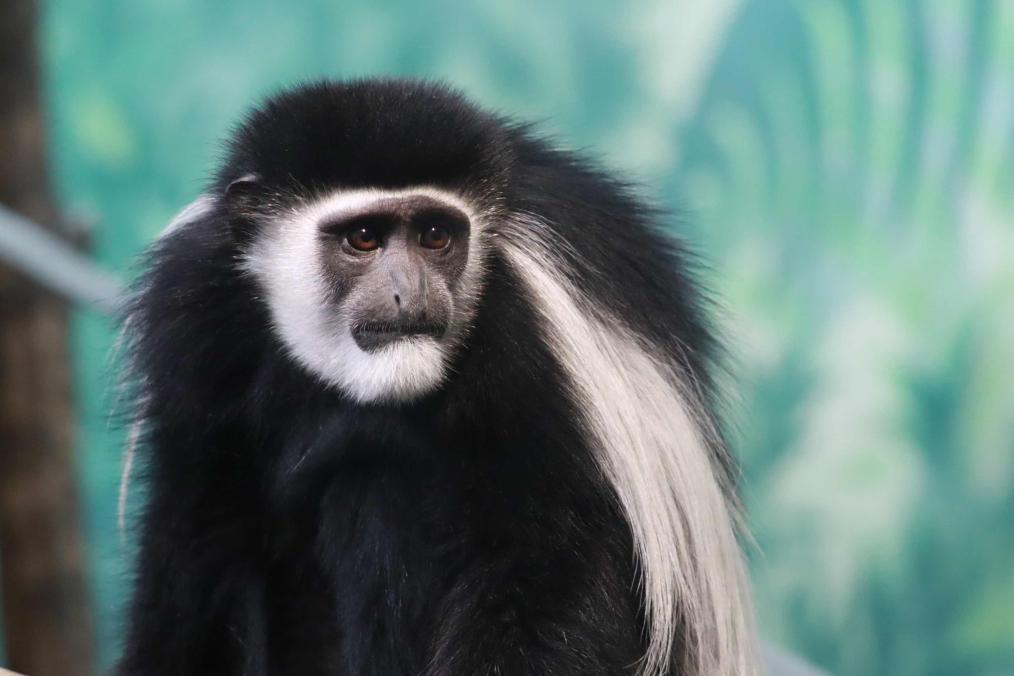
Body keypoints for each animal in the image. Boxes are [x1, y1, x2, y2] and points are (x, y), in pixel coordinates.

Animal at [117, 78, 758, 676]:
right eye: (364, 238)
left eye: (435, 236)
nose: (410, 293)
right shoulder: (191, 309)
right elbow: (200, 538)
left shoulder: (530, 333)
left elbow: (553, 557)